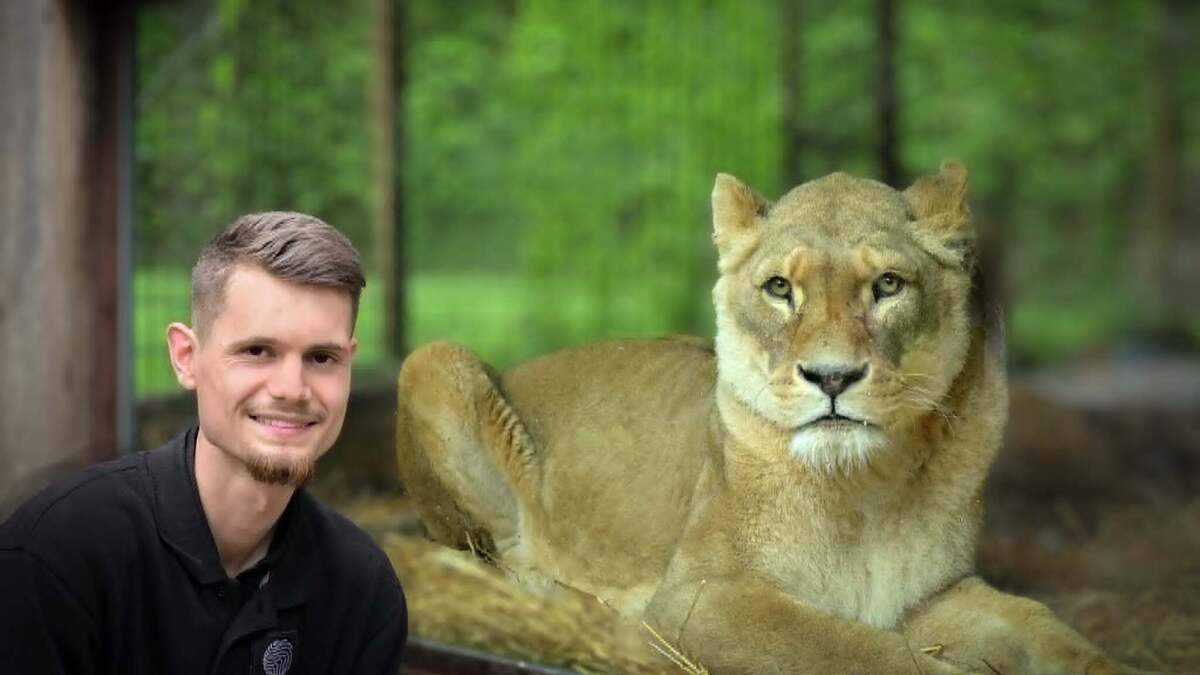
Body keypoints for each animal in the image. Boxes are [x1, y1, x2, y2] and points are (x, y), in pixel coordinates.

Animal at [395, 162, 1148, 674]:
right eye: (780, 288)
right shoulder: (699, 599)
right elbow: (860, 650)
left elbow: (1040, 622)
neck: (864, 491)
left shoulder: (934, 594)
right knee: (480, 553)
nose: (832, 377)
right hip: (432, 360)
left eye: (888, 285)